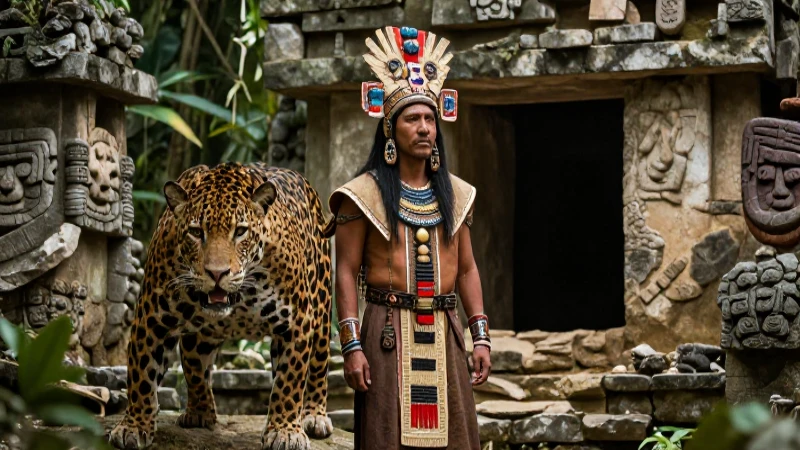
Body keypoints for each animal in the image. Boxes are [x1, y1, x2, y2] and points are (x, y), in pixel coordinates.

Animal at [109, 162, 334, 450]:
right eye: (196, 232)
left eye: (240, 231)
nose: (217, 273)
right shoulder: (152, 317)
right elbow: (141, 374)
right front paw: (134, 425)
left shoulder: (297, 321)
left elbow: (290, 381)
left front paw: (285, 432)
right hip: (201, 336)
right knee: (194, 365)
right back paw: (199, 412)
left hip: (322, 310)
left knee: (318, 366)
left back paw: (314, 416)